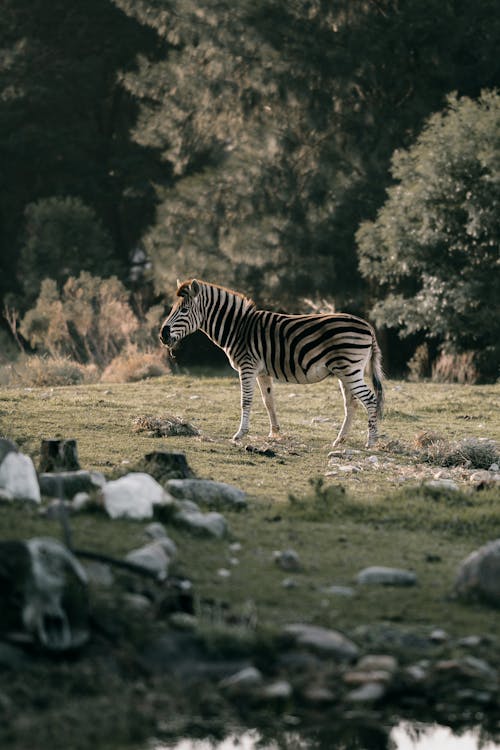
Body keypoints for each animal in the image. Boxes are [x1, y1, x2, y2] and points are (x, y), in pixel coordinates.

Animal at [158, 280, 384, 446]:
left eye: (184, 310)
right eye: (173, 308)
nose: (162, 335)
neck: (238, 328)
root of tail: (368, 327)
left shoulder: (247, 367)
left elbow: (246, 401)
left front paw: (239, 434)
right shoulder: (262, 372)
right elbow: (269, 402)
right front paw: (274, 432)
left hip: (350, 369)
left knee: (370, 399)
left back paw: (371, 442)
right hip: (344, 371)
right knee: (352, 403)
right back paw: (340, 440)